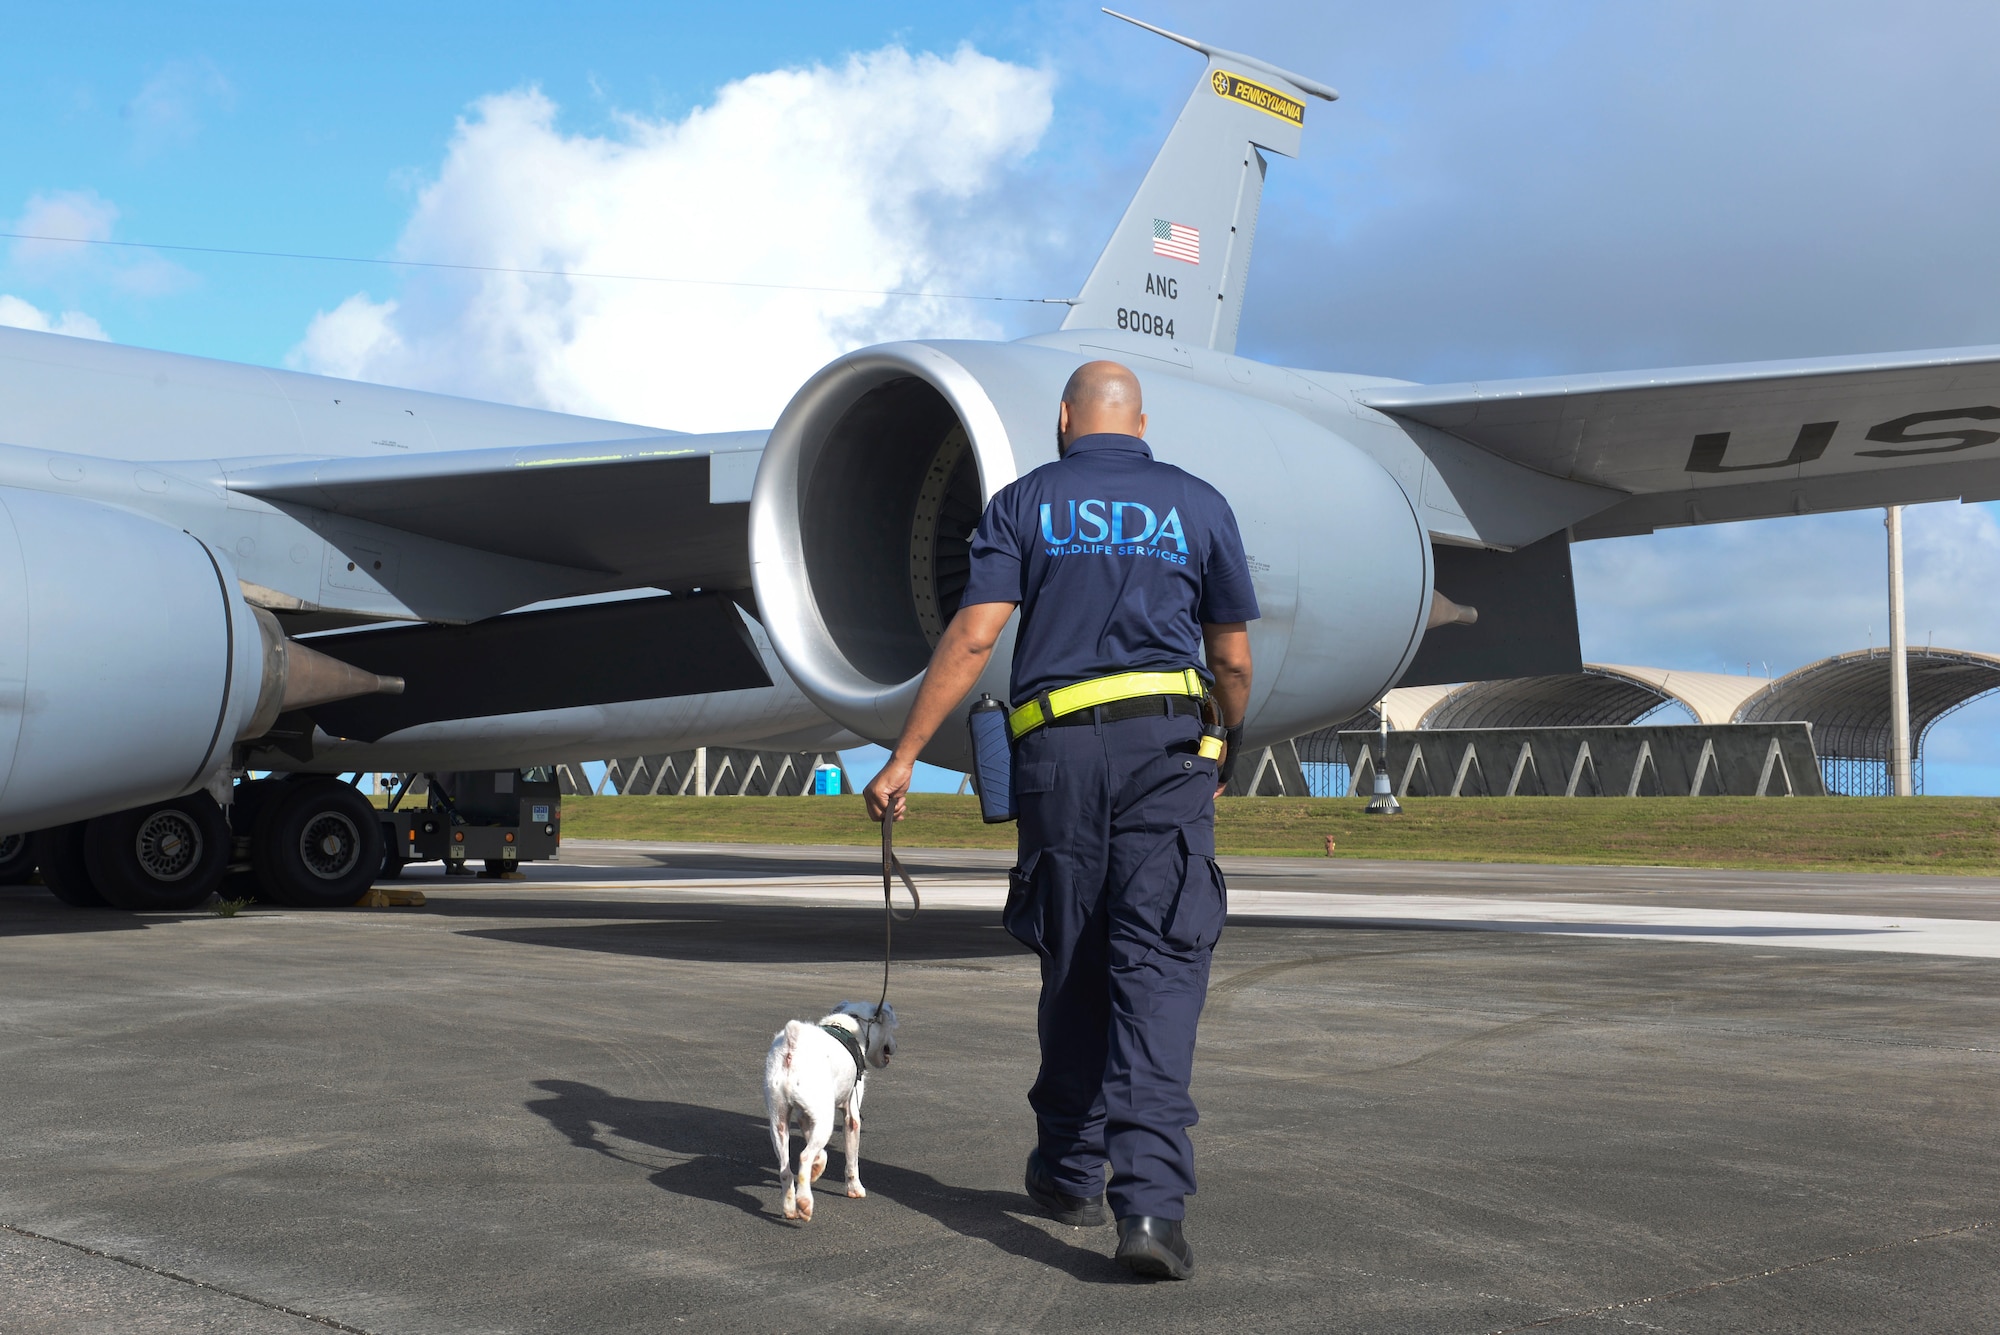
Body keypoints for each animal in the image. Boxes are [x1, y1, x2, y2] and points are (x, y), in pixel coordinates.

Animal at [756, 999, 900, 1223]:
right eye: (891, 1028)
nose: (895, 1047)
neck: (853, 1026)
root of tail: (792, 1045)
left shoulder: (805, 1116)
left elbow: (820, 1151)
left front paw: (818, 1167)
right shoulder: (851, 1116)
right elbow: (852, 1161)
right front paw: (855, 1188)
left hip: (779, 1123)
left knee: (785, 1169)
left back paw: (789, 1209)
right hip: (825, 1121)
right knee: (804, 1157)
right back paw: (804, 1203)